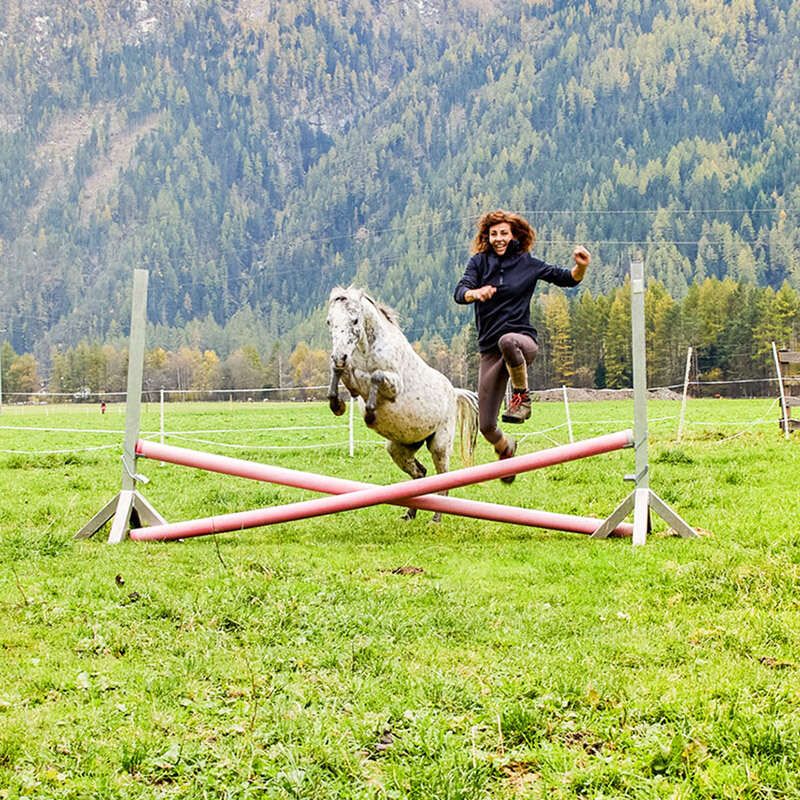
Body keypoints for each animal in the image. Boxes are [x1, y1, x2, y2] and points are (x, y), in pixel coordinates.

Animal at [324, 284, 476, 520]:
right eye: (329, 322)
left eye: (355, 320)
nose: (339, 355)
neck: (367, 350)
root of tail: (453, 392)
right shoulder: (352, 377)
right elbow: (339, 373)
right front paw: (337, 405)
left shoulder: (393, 384)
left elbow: (376, 377)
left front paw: (370, 414)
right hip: (400, 446)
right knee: (420, 474)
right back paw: (410, 514)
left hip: (440, 443)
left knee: (442, 476)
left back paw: (435, 519)